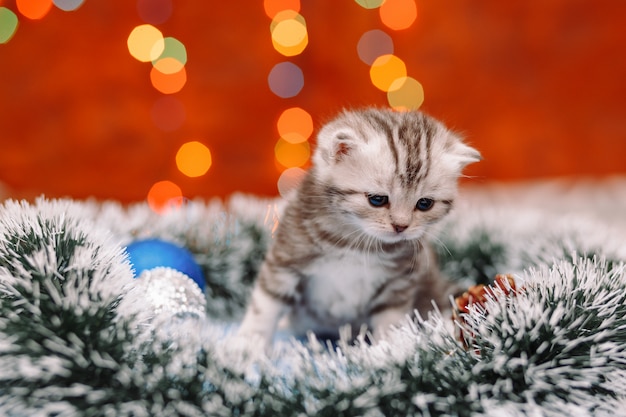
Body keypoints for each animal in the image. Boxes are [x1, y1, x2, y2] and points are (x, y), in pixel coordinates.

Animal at [238, 106, 478, 344]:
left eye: (424, 204)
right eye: (377, 199)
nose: (401, 226)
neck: (355, 241)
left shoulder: (398, 282)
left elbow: (390, 320)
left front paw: (390, 348)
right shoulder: (286, 258)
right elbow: (266, 304)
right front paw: (249, 344)